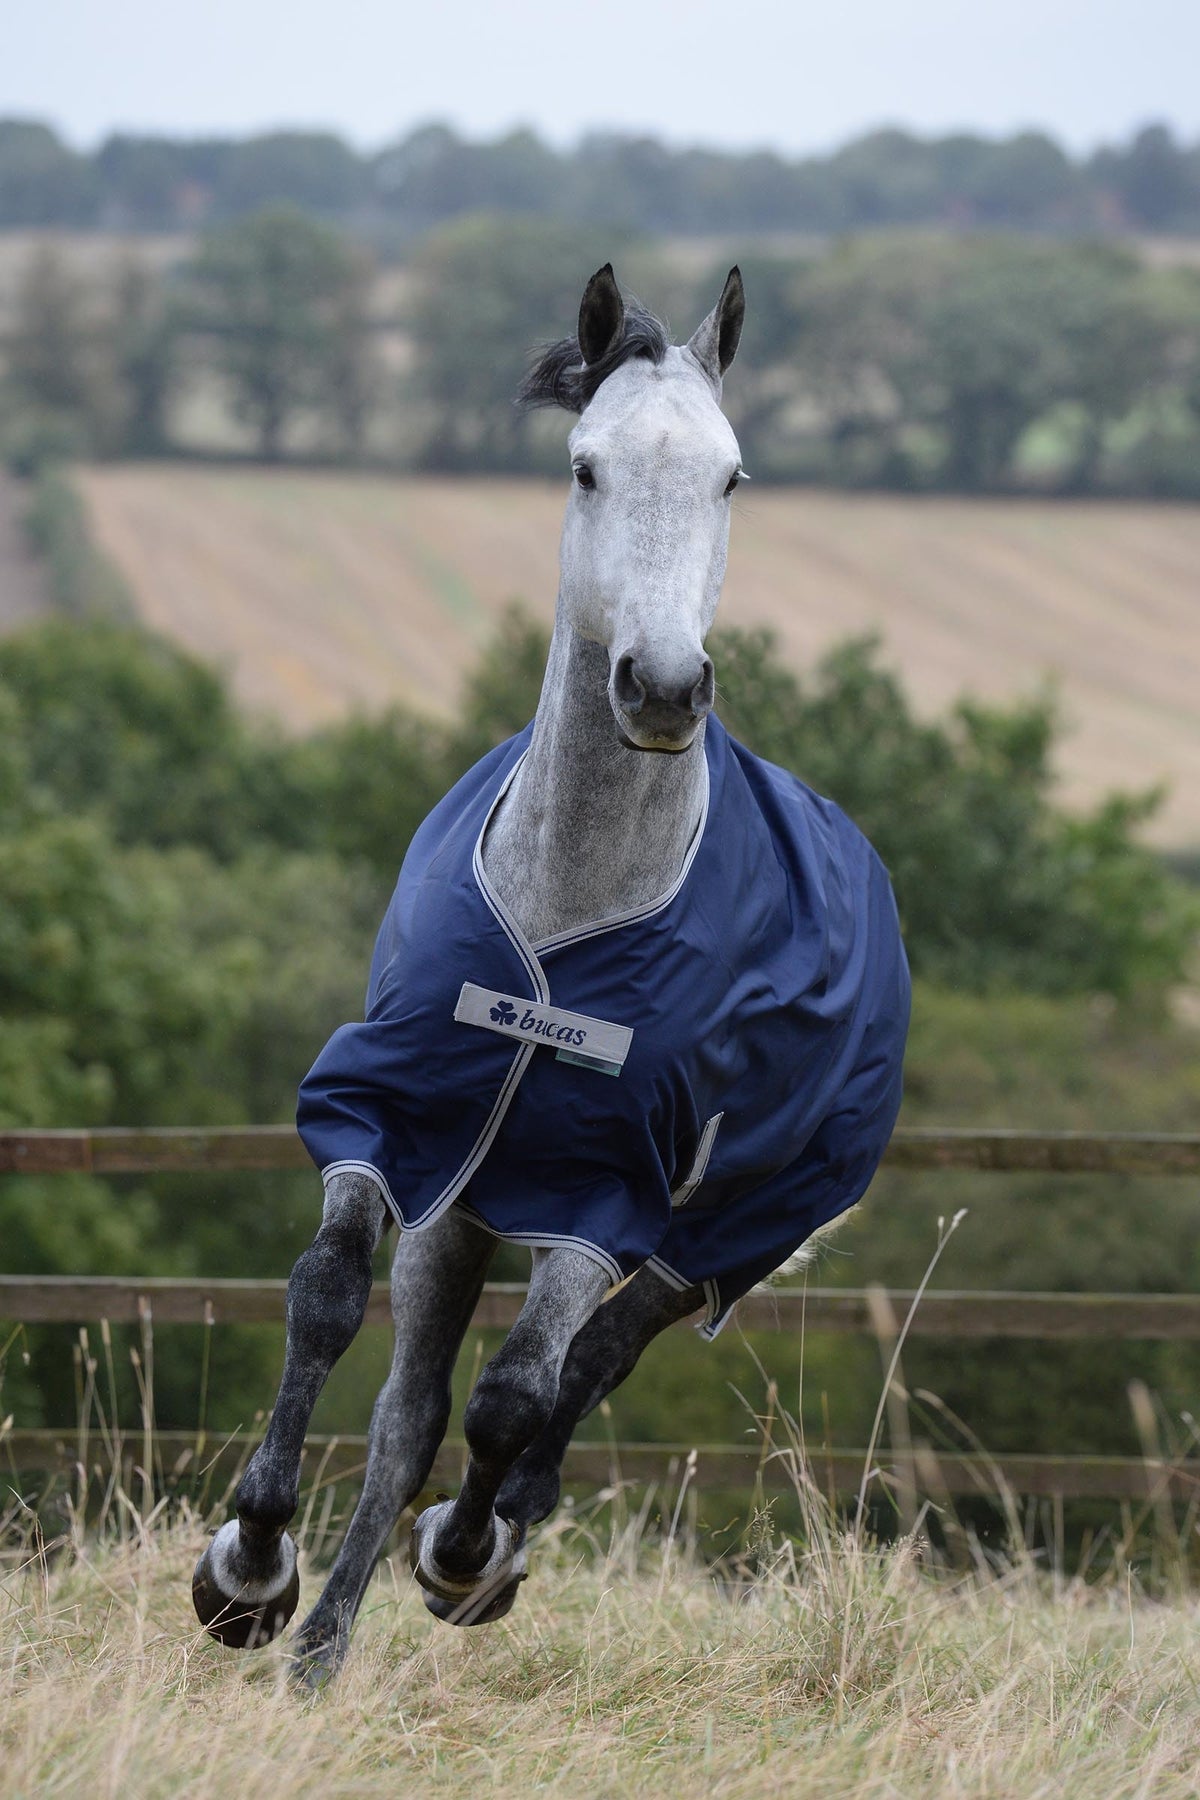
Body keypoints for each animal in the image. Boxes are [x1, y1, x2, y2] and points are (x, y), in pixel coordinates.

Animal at [191, 264, 910, 1682]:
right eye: (586, 467)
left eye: (733, 478)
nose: (666, 687)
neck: (568, 919)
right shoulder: (405, 1131)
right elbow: (324, 1300)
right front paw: (248, 1570)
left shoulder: (600, 1194)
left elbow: (519, 1393)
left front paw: (463, 1553)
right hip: (472, 1212)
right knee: (411, 1416)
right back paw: (319, 1651)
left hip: (722, 1235)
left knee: (574, 1378)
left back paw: (478, 1554)